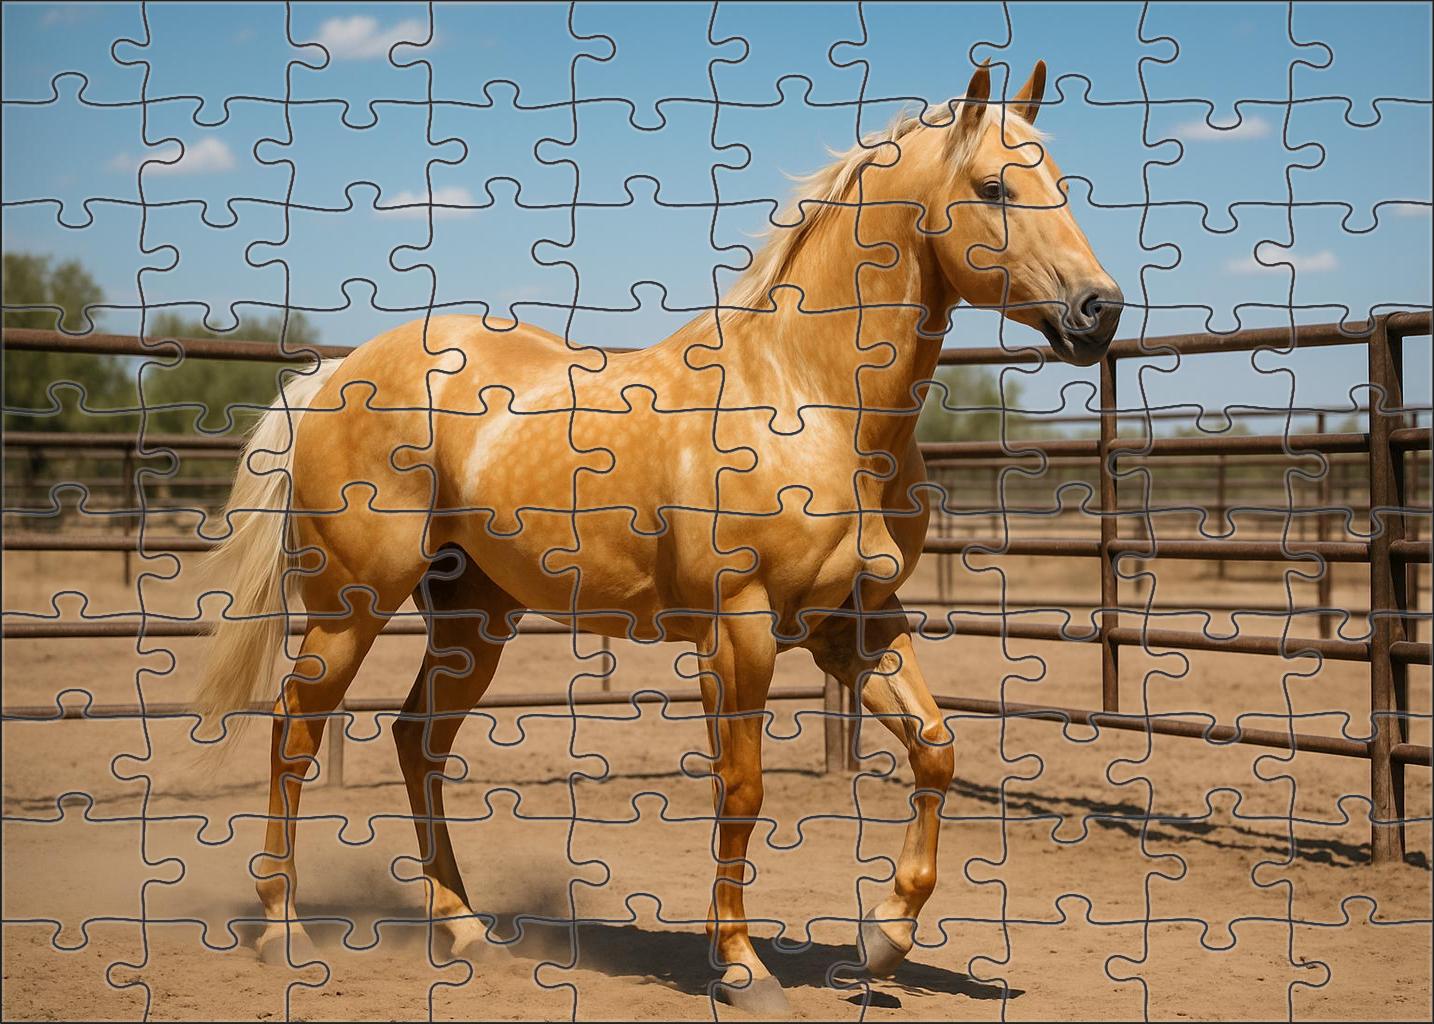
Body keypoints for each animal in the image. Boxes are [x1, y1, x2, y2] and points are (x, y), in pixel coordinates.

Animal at [196, 60, 1121, 1014]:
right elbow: (741, 791)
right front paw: (743, 968)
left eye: (1061, 183)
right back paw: (283, 932)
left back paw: (465, 929)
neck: (814, 402)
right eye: (993, 187)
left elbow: (935, 752)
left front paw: (885, 939)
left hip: (473, 623)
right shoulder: (739, 634)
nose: (1100, 310)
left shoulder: (857, 625)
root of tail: (336, 373)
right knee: (294, 733)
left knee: (417, 742)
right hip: (350, 610)